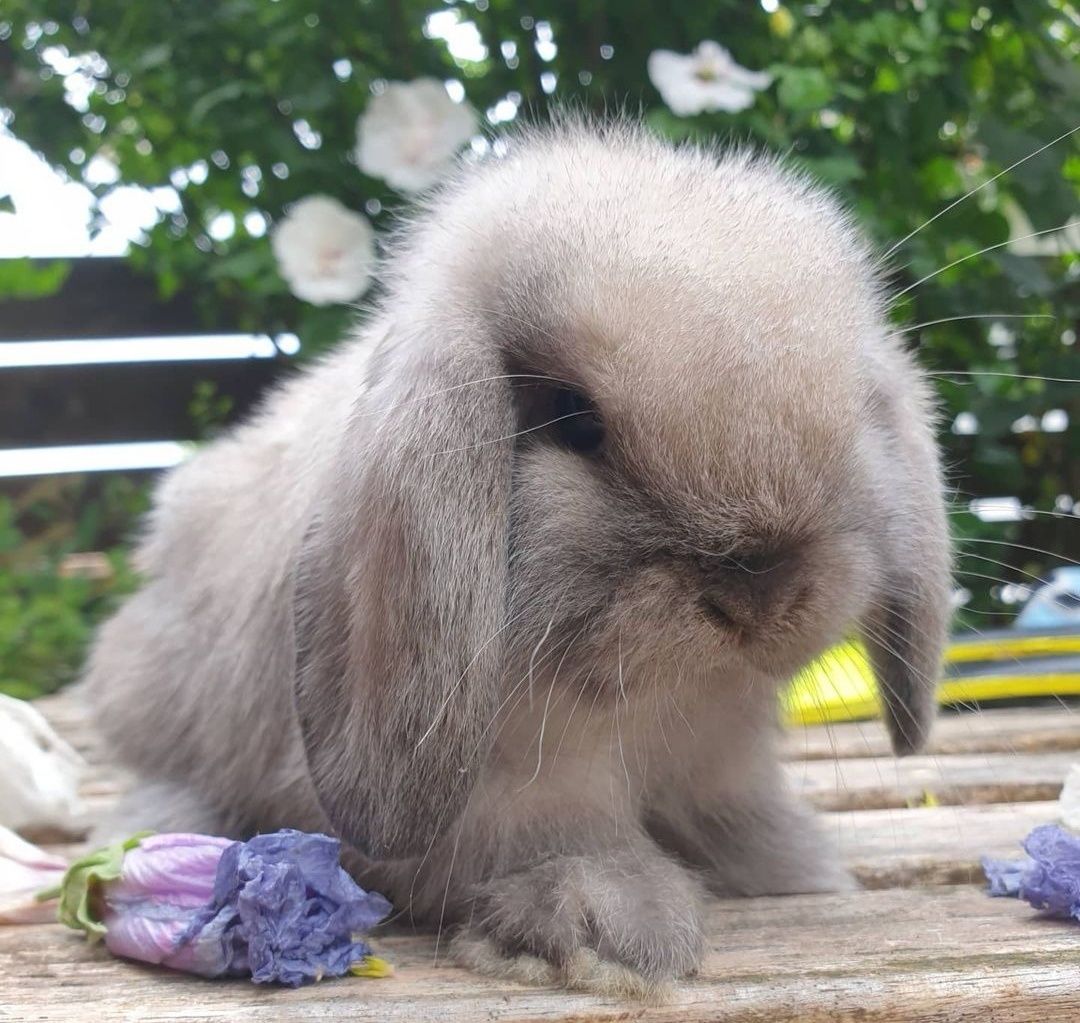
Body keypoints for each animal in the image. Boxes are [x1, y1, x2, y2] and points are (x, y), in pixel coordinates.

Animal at [84, 119, 950, 993]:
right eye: (574, 418)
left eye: (856, 412)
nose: (761, 595)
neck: (652, 705)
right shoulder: (507, 792)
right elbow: (556, 839)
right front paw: (609, 930)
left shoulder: (724, 762)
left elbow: (739, 818)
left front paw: (798, 871)